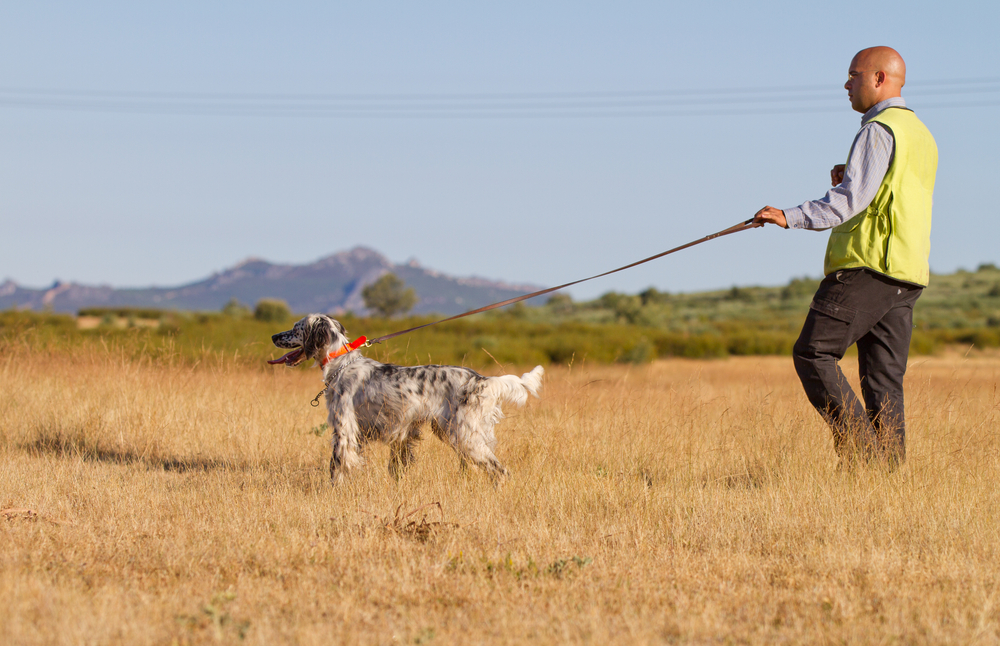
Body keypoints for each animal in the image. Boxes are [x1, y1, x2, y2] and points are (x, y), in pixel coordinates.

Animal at [270, 314, 544, 486]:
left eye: (296, 328)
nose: (273, 336)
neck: (340, 363)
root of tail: (479, 379)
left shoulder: (344, 429)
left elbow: (336, 466)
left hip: (463, 434)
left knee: (499, 470)